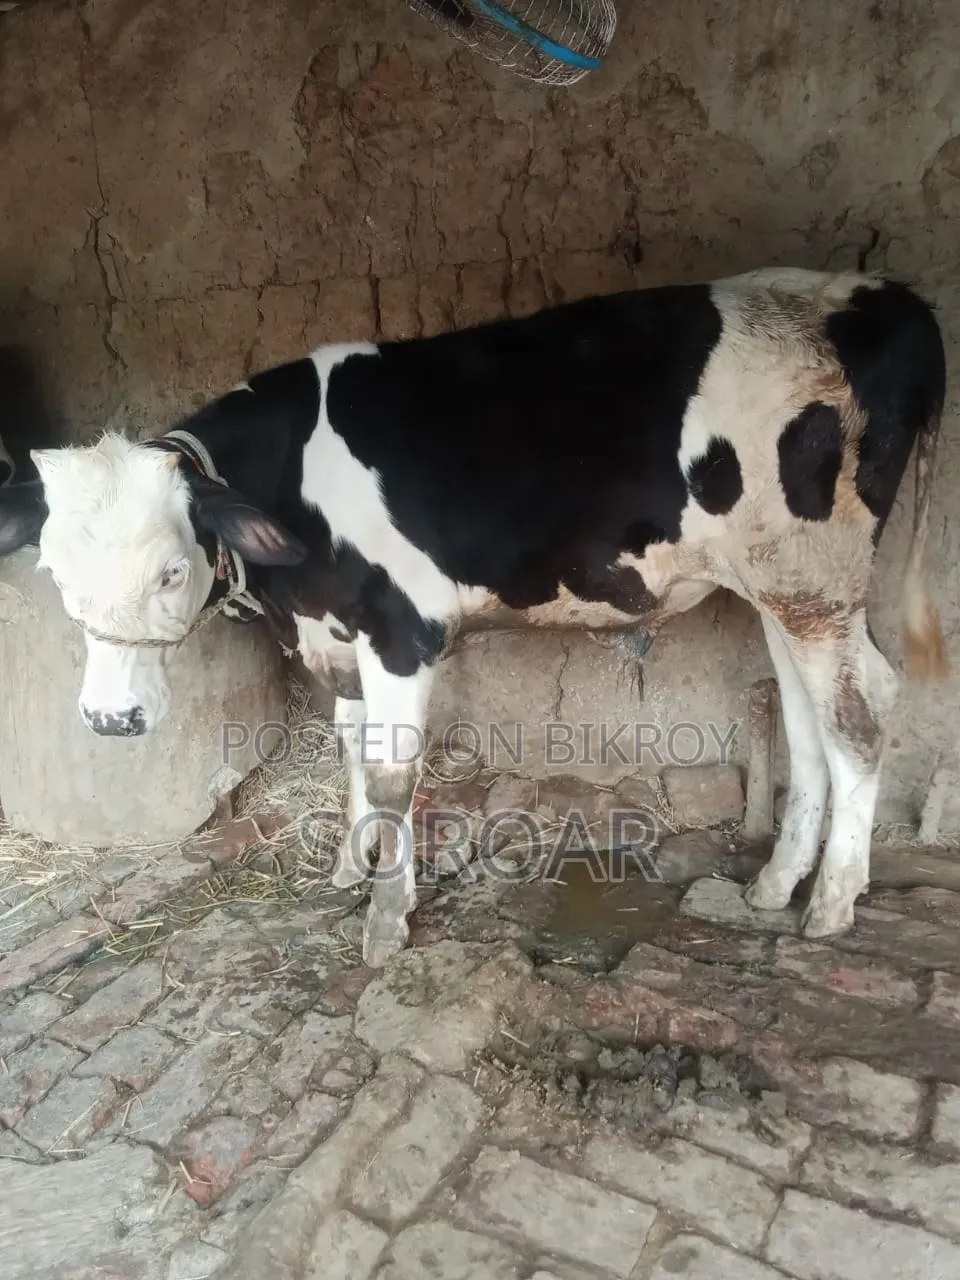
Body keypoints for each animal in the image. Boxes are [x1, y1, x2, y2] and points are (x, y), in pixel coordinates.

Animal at [0, 266, 948, 968]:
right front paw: (350, 866)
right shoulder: (337, 633)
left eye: (170, 570)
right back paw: (779, 881)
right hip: (783, 584)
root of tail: (885, 295)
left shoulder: (400, 630)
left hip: (813, 571)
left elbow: (393, 775)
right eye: (52, 572)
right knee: (809, 712)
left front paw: (387, 921)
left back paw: (831, 902)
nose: (111, 718)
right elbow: (353, 751)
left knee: (861, 711)